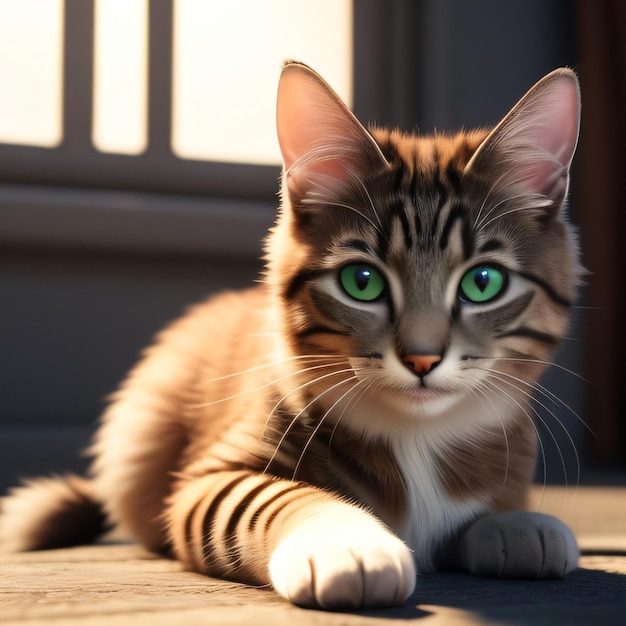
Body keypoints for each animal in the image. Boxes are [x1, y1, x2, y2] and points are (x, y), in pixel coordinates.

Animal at [0, 61, 580, 608]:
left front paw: (521, 525)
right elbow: (272, 499)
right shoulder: (210, 478)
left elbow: (496, 512)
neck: (418, 435)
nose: (421, 359)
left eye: (483, 283)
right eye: (361, 281)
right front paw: (347, 544)